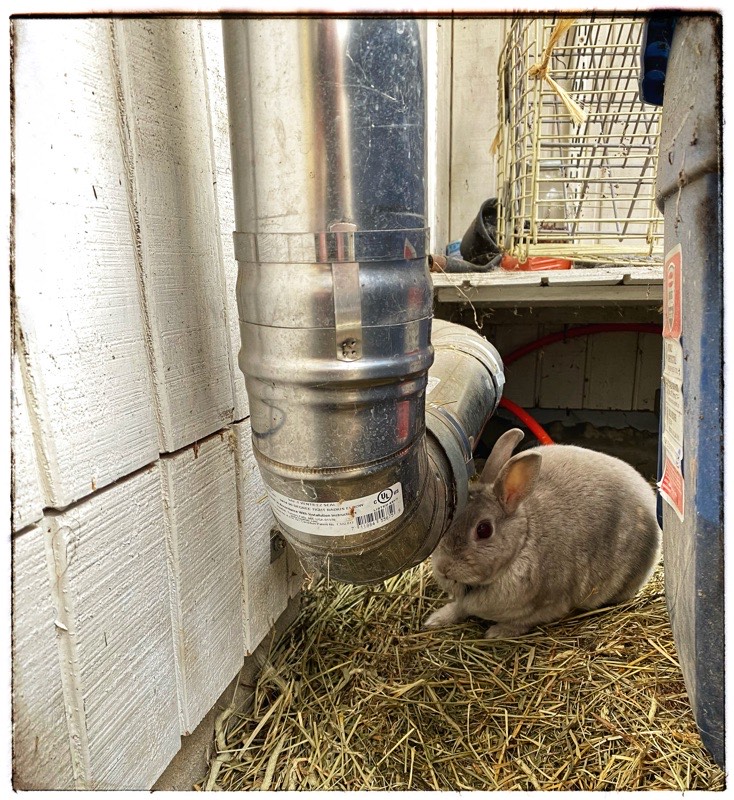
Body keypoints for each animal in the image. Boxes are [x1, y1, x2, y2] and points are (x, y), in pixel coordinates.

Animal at [423, 428, 662, 639]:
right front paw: (435, 620)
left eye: (484, 530)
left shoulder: (547, 606)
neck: (523, 541)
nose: (444, 568)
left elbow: (520, 623)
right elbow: (459, 608)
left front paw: (497, 632)